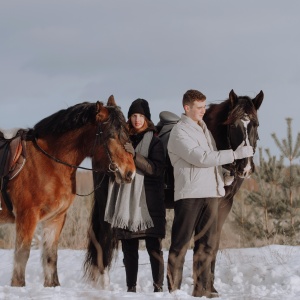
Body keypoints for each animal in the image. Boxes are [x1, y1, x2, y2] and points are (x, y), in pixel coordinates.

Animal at [0, 95, 135, 286]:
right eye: (111, 135)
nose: (130, 172)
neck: (48, 162)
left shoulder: (55, 218)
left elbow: (50, 258)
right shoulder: (27, 216)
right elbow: (22, 257)